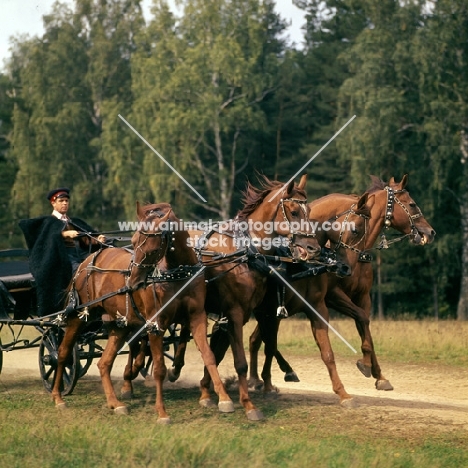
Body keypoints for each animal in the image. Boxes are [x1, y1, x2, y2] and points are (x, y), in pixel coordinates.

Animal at [51, 203, 234, 422]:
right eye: (133, 241)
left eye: (153, 247)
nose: (133, 281)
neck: (177, 274)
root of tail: (86, 262)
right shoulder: (156, 324)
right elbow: (159, 369)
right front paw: (162, 412)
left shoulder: (196, 317)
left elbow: (208, 356)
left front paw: (224, 399)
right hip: (80, 316)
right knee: (63, 351)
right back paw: (58, 396)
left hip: (119, 324)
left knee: (104, 363)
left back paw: (115, 403)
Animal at [249, 173, 436, 392]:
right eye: (412, 204)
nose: (430, 232)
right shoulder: (332, 296)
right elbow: (361, 320)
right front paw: (368, 366)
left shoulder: (363, 298)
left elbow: (364, 324)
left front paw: (377, 373)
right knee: (262, 339)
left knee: (256, 339)